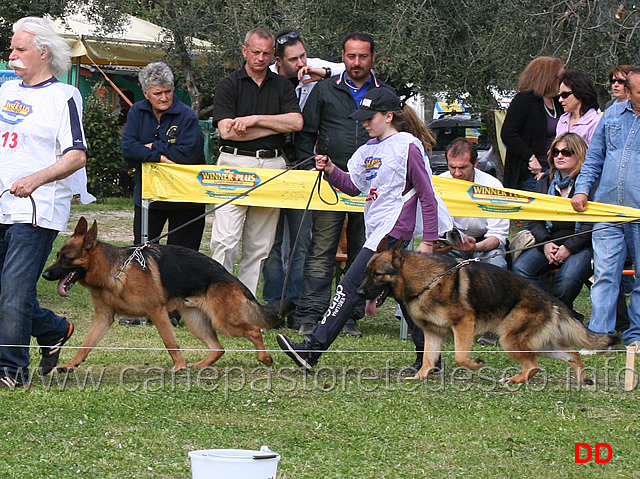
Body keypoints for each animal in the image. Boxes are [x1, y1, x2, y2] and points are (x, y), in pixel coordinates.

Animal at [42, 218, 288, 372]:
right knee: (218, 348)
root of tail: (229, 276)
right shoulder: (104, 318)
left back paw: (264, 358)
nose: (44, 274)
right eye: (57, 255)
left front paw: (178, 366)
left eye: (66, 259)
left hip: (224, 321)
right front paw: (71, 365)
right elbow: (86, 344)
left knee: (254, 331)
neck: (114, 271)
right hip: (197, 322)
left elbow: (170, 342)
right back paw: (199, 366)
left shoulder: (157, 312)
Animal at [360, 242, 616, 384]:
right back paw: (581, 380)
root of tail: (550, 300)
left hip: (510, 340)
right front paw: (419, 378)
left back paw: (513, 380)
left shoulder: (463, 324)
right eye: (366, 272)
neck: (426, 281)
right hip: (540, 344)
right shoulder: (433, 333)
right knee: (571, 353)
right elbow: (427, 359)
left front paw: (475, 364)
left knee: (533, 366)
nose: (359, 292)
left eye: (377, 275)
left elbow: (460, 357)